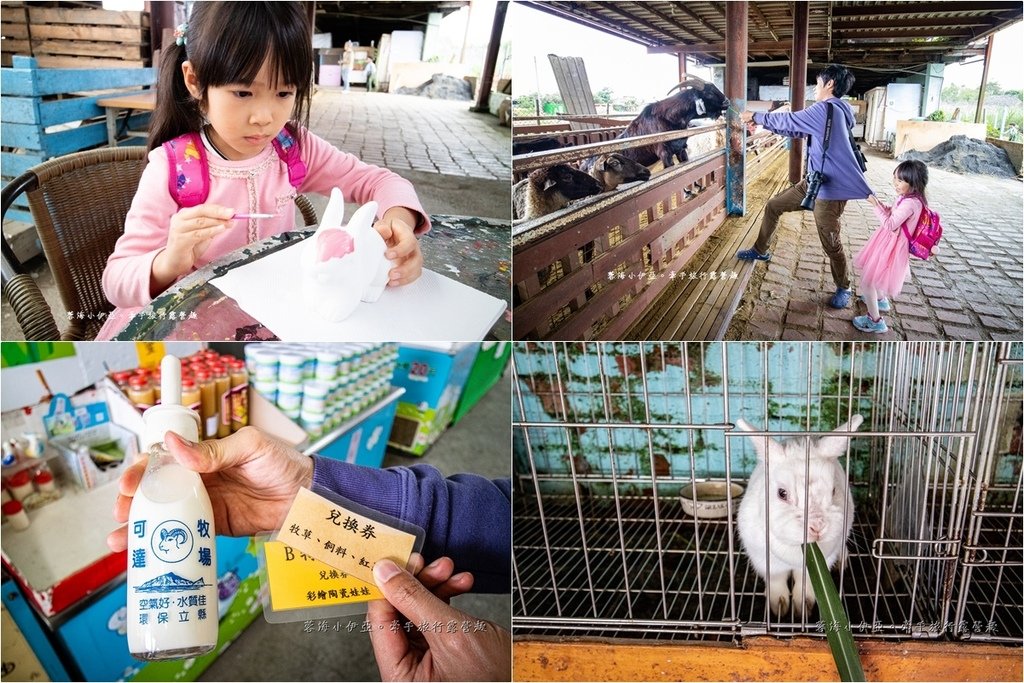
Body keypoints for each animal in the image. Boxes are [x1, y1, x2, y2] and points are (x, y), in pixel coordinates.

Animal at [299, 188, 393, 325]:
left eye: (349, 260)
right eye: (314, 243)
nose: (318, 271)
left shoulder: (349, 292)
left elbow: (340, 305)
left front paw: (331, 314)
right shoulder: (312, 284)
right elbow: (312, 295)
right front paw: (311, 305)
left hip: (382, 272)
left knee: (379, 284)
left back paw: (370, 295)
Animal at [737, 413, 864, 622]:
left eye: (833, 491)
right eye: (781, 493)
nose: (817, 525)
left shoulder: (821, 561)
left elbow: (805, 584)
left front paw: (803, 606)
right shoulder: (764, 559)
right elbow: (777, 580)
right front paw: (779, 606)